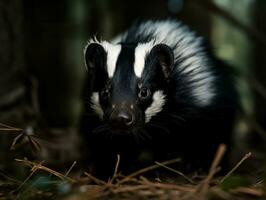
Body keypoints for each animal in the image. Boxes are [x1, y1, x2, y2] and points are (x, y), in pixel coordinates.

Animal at [82, 18, 238, 178]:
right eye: (104, 92)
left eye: (144, 92)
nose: (121, 118)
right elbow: (103, 142)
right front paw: (110, 171)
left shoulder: (192, 105)